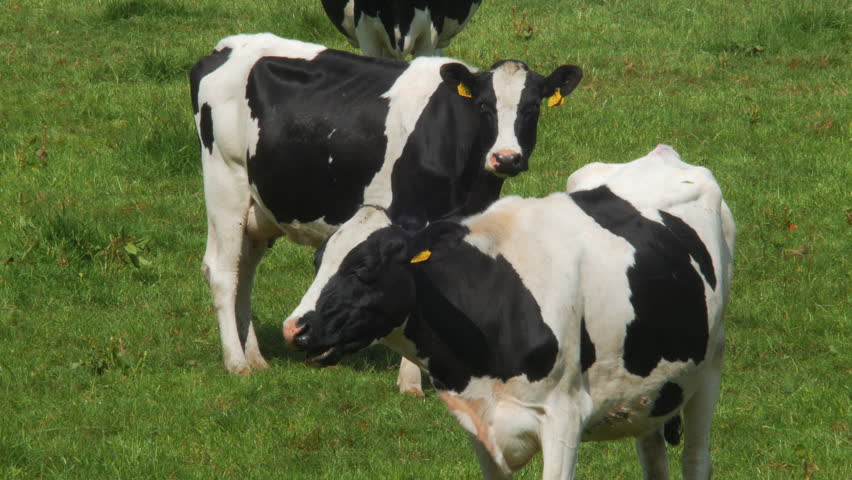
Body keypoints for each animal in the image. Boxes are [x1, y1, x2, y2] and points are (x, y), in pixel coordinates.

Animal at [189, 31, 584, 380]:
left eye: (532, 108)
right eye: (484, 107)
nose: (506, 158)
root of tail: (224, 46)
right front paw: (412, 381)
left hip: (259, 207)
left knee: (244, 270)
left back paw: (255, 357)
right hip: (225, 180)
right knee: (221, 270)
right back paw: (236, 363)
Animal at [282, 146, 736, 480]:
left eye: (363, 268)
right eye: (318, 262)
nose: (294, 329)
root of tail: (663, 153)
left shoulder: (564, 417)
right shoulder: (478, 424)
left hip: (710, 366)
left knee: (696, 461)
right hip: (652, 388)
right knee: (653, 455)